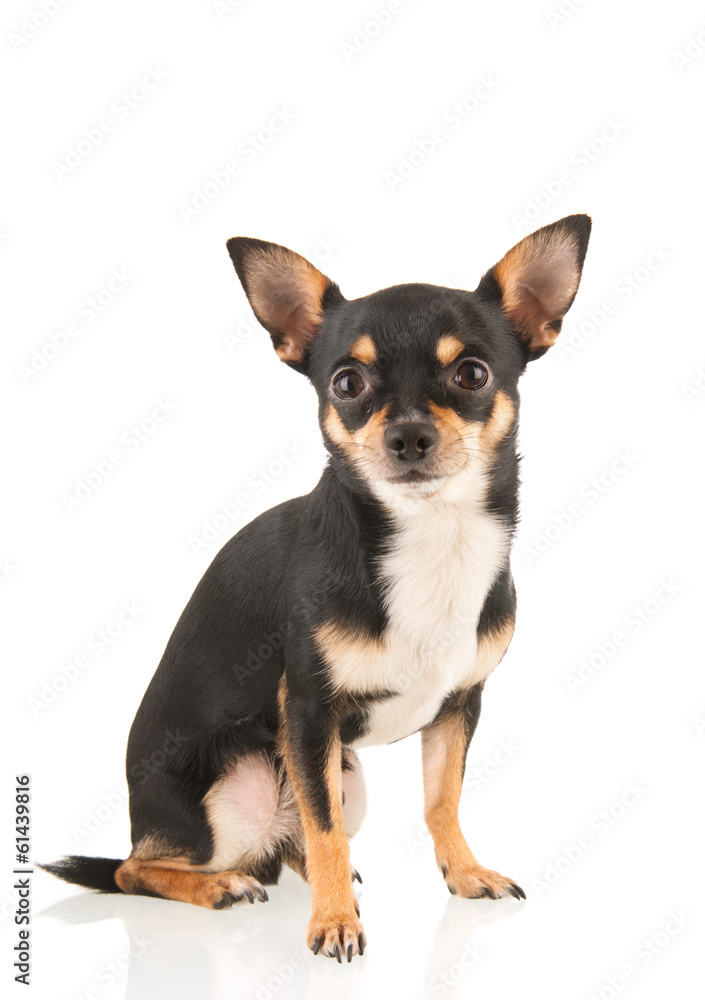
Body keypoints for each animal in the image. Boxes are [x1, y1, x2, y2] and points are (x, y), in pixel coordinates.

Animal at [44, 217, 592, 960]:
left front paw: (463, 872)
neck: (432, 536)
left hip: (348, 774)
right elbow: (325, 825)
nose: (408, 434)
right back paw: (223, 886)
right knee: (141, 868)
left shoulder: (458, 706)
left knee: (295, 836)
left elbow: (438, 800)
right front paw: (333, 923)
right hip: (237, 786)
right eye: (347, 383)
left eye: (472, 374)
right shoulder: (306, 712)